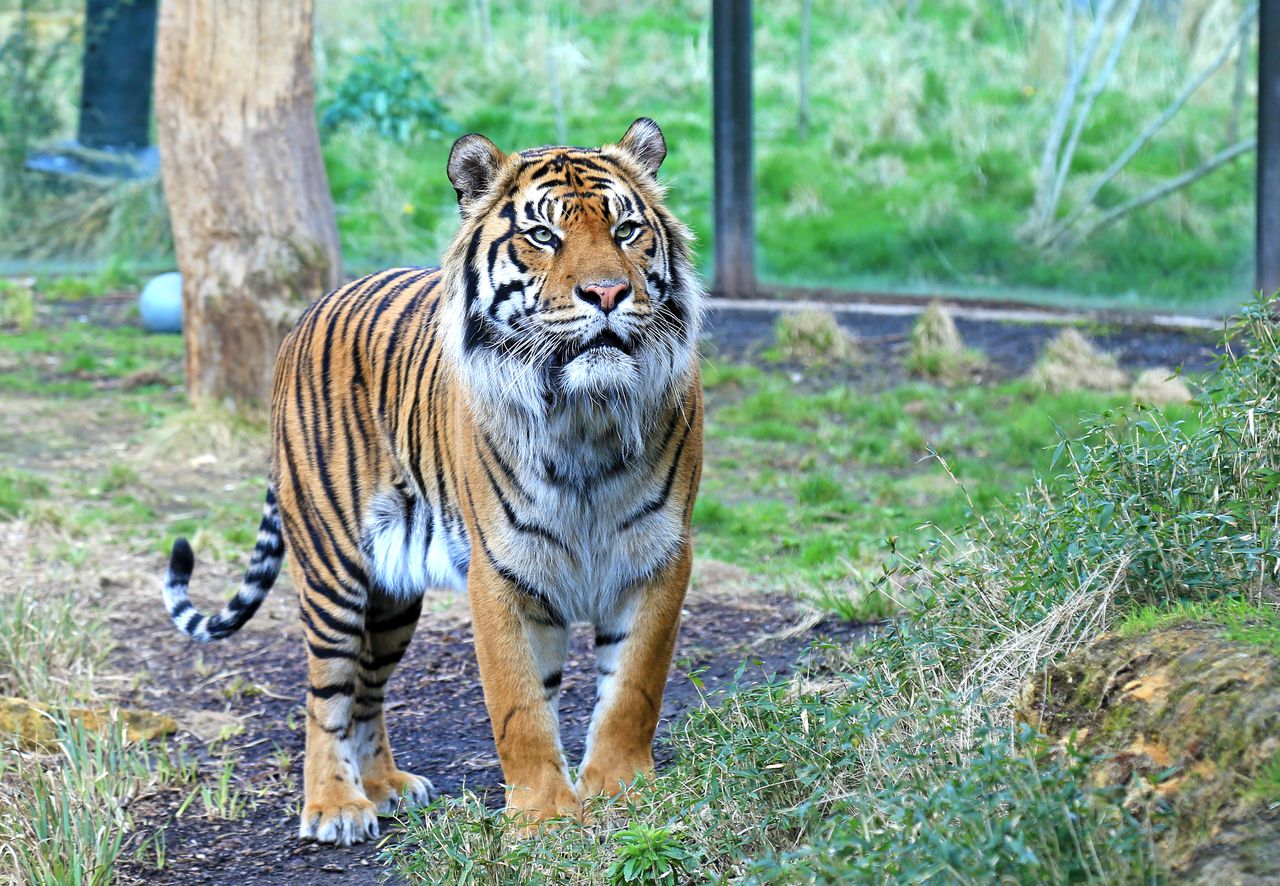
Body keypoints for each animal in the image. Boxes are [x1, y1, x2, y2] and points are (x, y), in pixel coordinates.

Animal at [160, 117, 706, 845]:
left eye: (625, 230)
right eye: (543, 235)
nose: (608, 294)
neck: (584, 412)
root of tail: (308, 313)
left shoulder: (658, 558)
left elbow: (632, 691)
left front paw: (623, 795)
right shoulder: (502, 570)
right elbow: (520, 705)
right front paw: (543, 816)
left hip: (393, 596)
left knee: (367, 685)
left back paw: (386, 785)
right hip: (332, 569)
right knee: (325, 691)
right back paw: (335, 806)